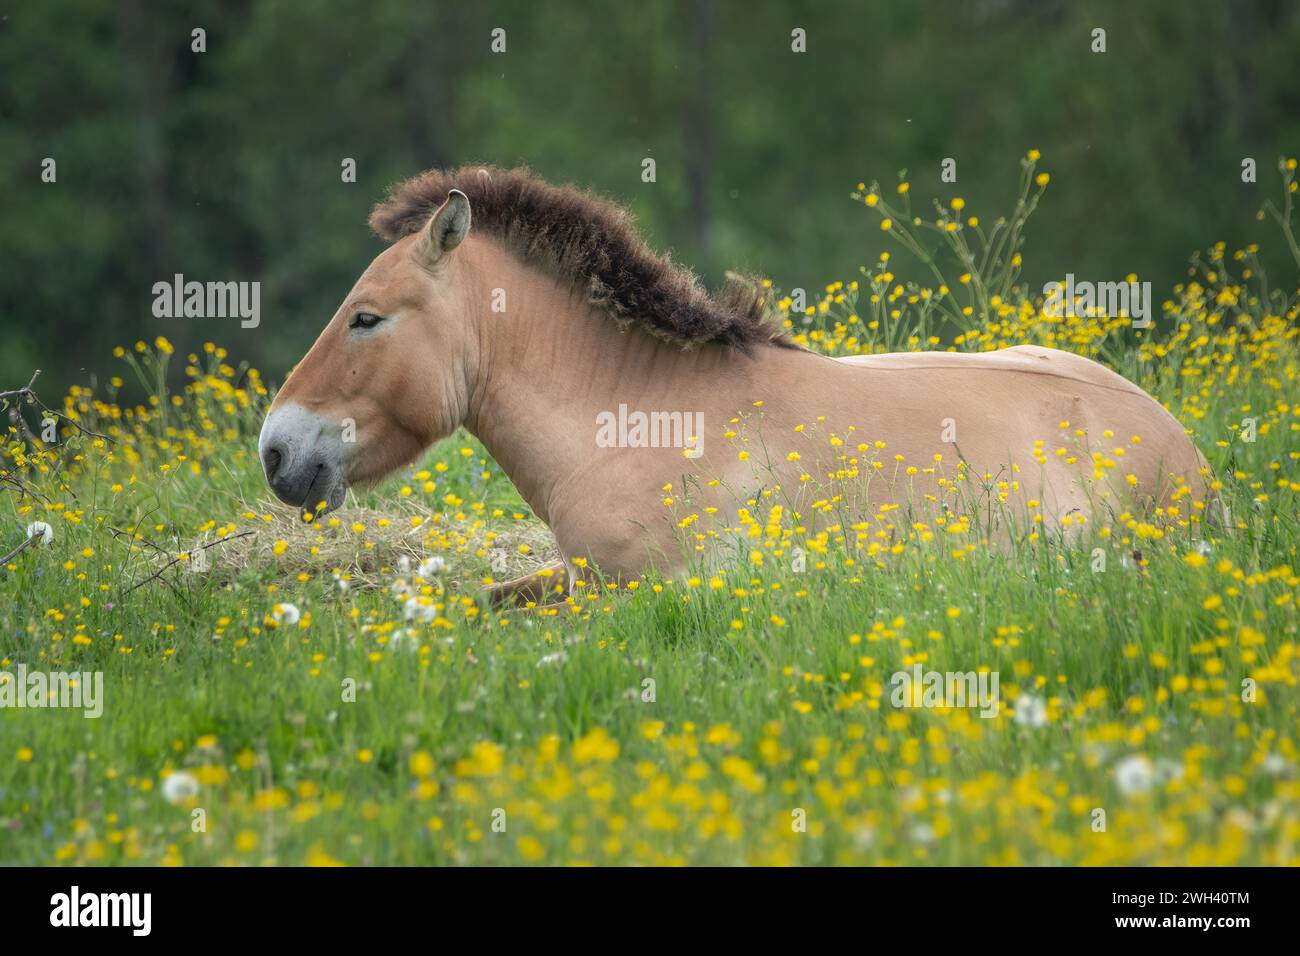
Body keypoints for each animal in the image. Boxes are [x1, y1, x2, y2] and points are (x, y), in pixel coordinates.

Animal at [258, 166, 1211, 606]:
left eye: (365, 318)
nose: (275, 451)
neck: (638, 421)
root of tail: (1188, 457)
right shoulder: (569, 575)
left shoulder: (636, 595)